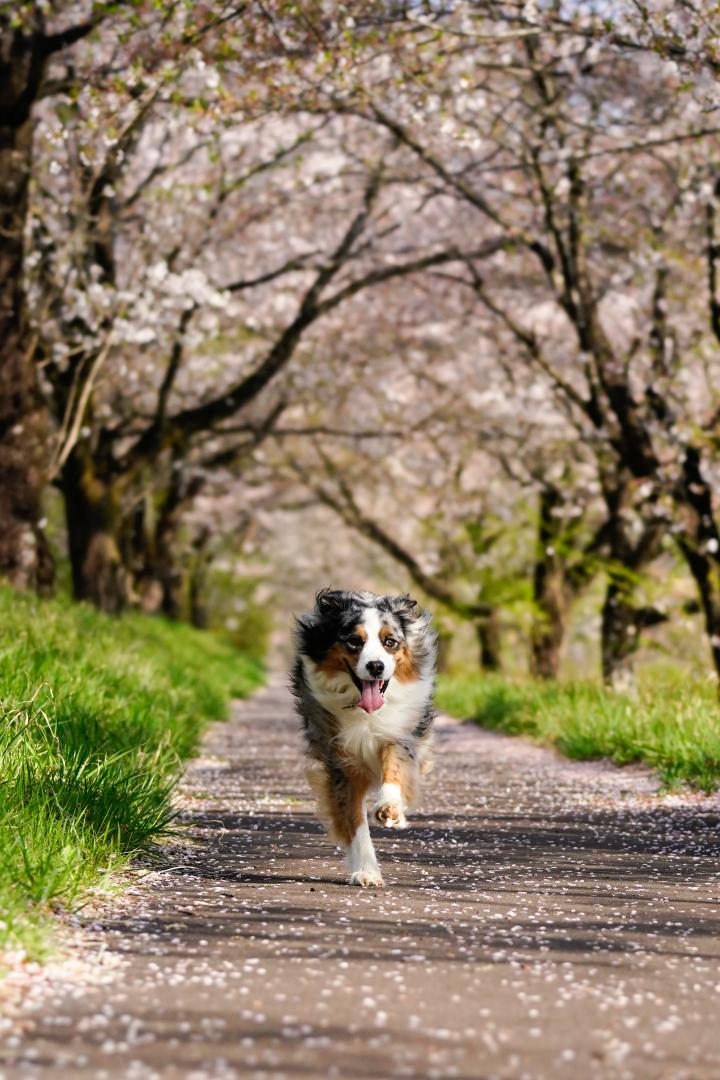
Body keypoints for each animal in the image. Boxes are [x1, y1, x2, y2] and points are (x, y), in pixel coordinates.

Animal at [289, 591, 436, 885]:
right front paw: (367, 871)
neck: (363, 709)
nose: (376, 666)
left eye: (390, 642)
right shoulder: (341, 761)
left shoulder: (400, 732)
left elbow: (394, 766)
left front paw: (389, 805)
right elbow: (354, 820)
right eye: (355, 641)